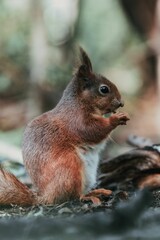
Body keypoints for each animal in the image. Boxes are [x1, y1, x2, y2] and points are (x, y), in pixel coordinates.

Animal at [0, 47, 129, 205]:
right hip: (69, 167)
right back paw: (88, 197)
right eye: (104, 89)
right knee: (74, 196)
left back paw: (97, 191)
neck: (79, 102)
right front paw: (115, 119)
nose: (121, 103)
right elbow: (91, 130)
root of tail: (45, 197)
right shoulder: (75, 119)